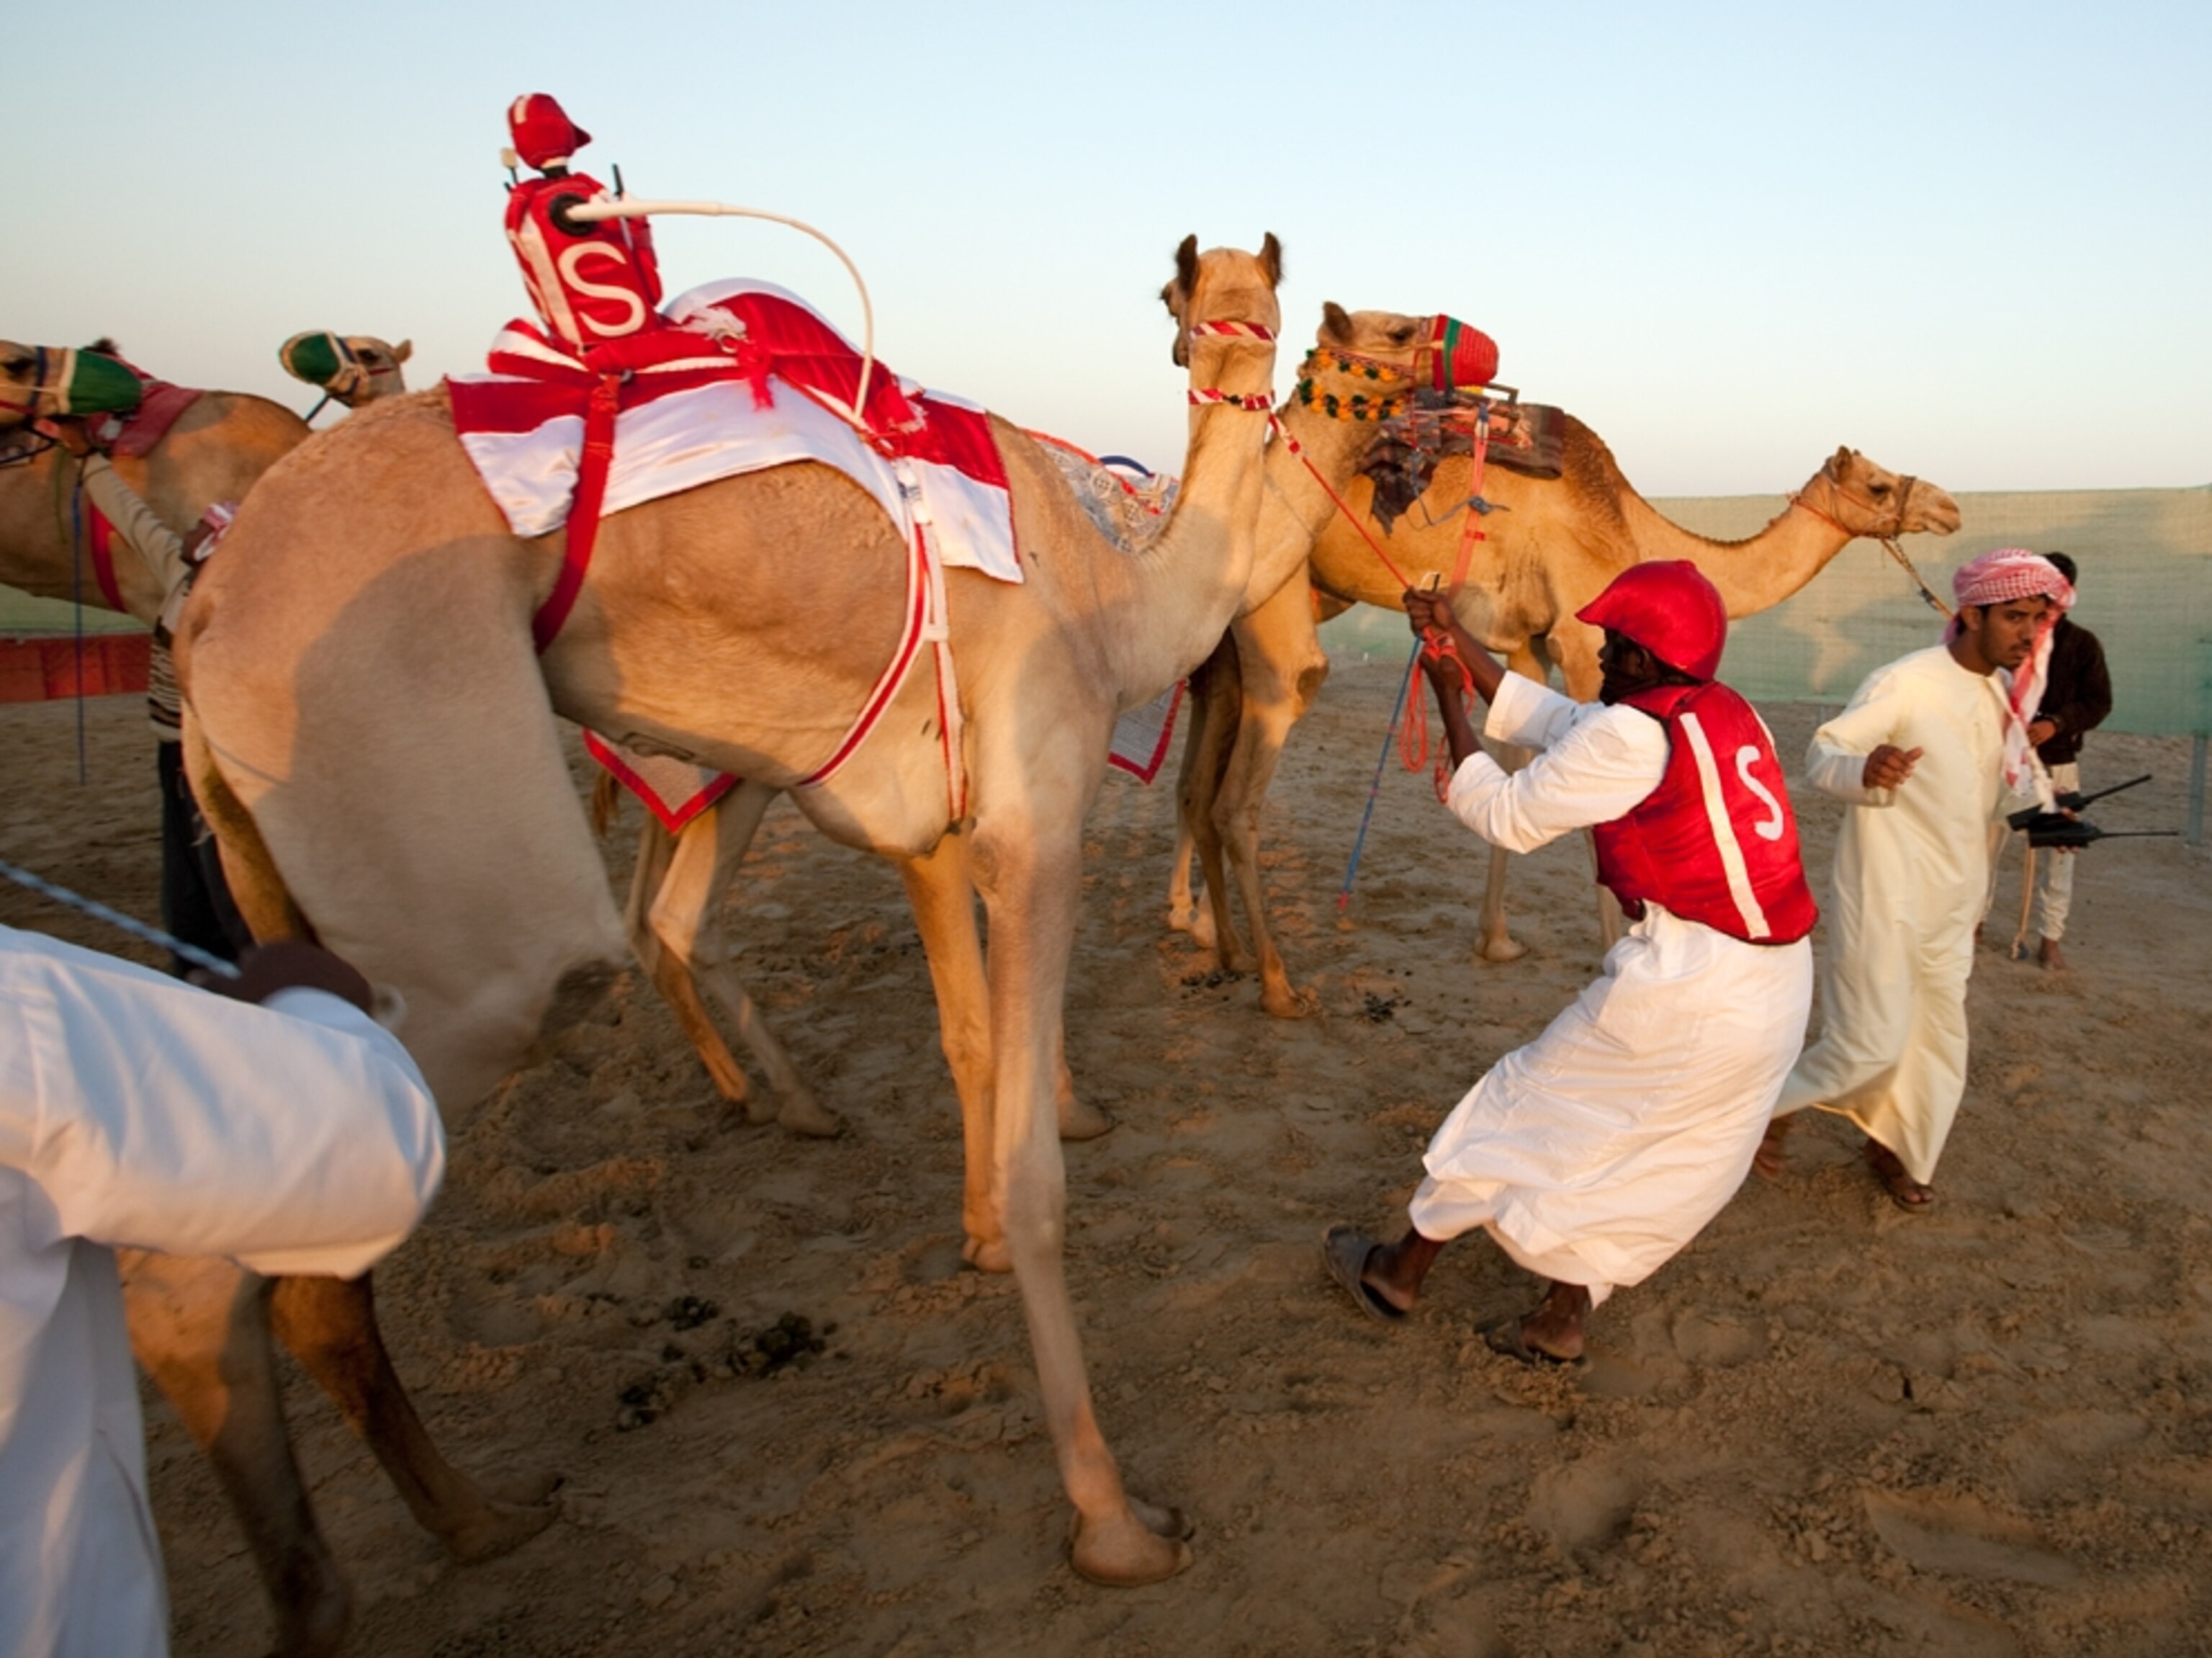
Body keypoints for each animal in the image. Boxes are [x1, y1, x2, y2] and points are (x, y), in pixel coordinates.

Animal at [175, 236, 1287, 1590]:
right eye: (1183, 301)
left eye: (1254, 299)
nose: (1241, 350)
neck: (1116, 595)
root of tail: (210, 598)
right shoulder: (1030, 830)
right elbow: (1037, 1170)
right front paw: (1114, 1517)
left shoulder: (930, 831)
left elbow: (964, 1040)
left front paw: (968, 1242)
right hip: (460, 883)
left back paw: (477, 1516)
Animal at [1174, 393, 1961, 1003]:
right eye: (1880, 485)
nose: (1949, 506)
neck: (1625, 520)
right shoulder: (1584, 642)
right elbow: (1592, 805)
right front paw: (1615, 951)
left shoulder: (1531, 643)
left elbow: (1513, 756)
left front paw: (1495, 940)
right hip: (1276, 608)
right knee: (1243, 781)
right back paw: (1275, 981)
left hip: (1242, 622)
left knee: (1198, 775)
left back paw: (1215, 938)